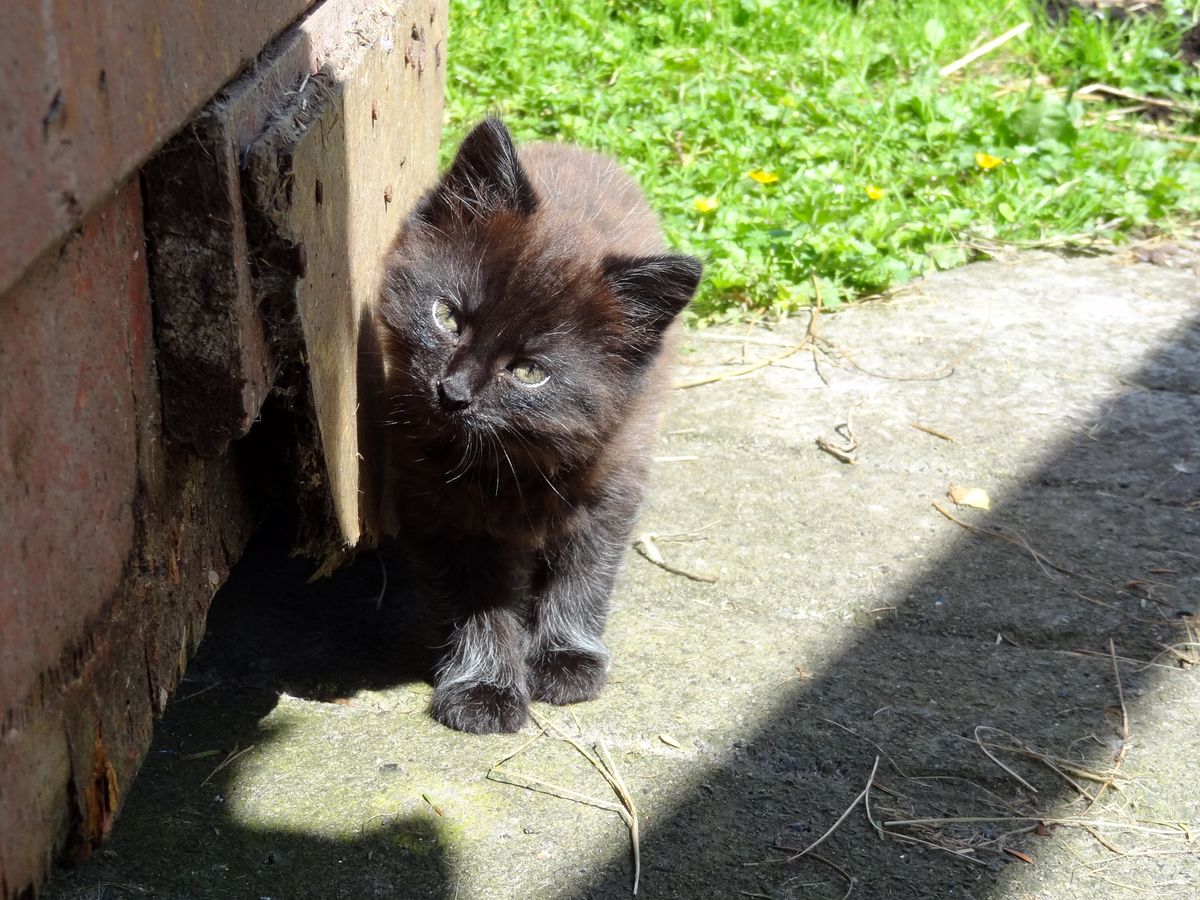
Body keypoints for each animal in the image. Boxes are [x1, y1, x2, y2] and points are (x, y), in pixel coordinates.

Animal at [372, 120, 696, 734]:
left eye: (528, 372)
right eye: (447, 317)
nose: (452, 393)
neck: (508, 463)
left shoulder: (611, 483)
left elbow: (583, 576)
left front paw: (567, 658)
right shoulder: (435, 507)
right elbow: (473, 600)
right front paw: (484, 688)